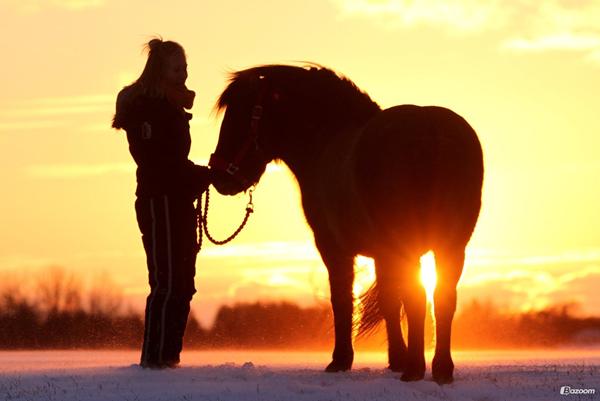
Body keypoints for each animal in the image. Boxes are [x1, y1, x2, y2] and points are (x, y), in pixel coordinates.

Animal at [209, 64, 486, 382]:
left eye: (239, 114)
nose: (219, 177)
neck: (326, 143)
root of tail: (430, 130)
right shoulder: (382, 254)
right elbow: (391, 301)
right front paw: (396, 358)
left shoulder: (333, 248)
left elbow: (343, 299)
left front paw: (341, 360)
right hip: (450, 247)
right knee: (442, 299)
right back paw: (440, 368)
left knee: (419, 297)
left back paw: (415, 369)